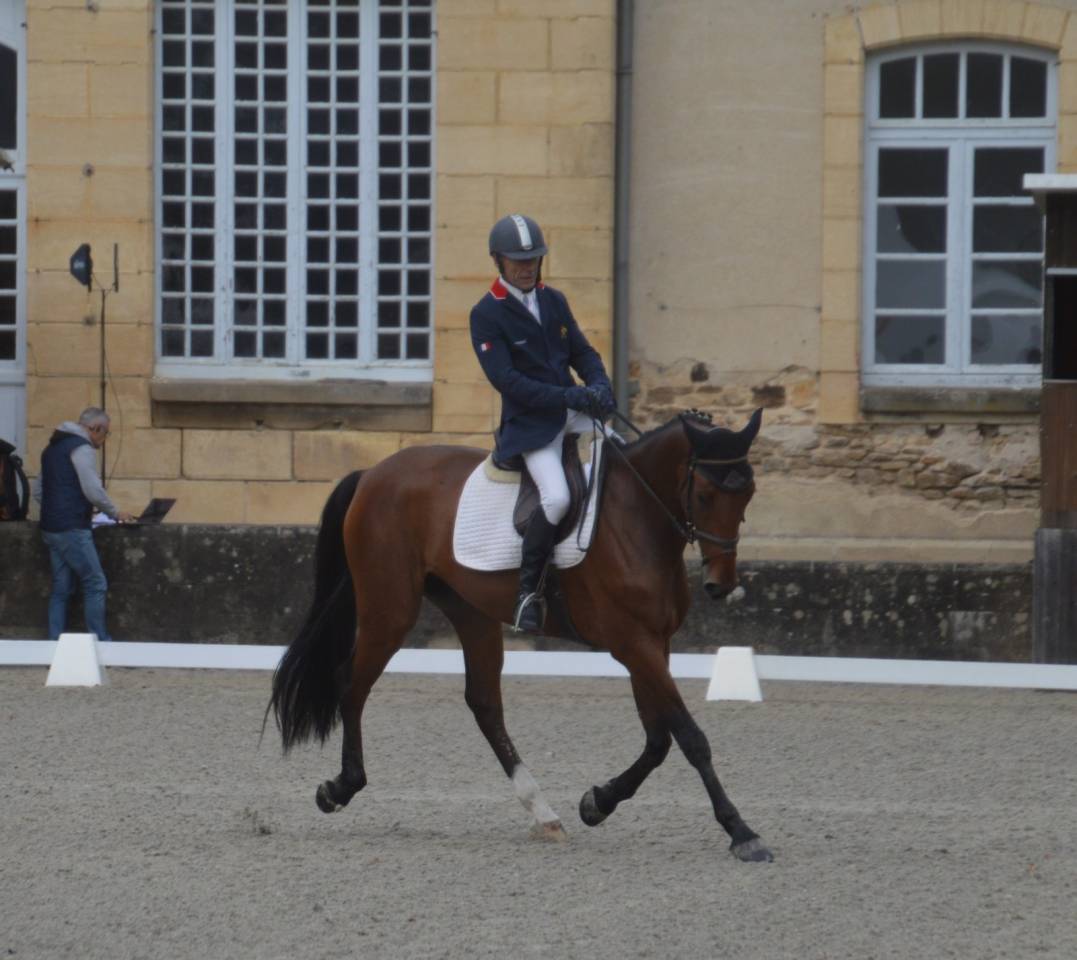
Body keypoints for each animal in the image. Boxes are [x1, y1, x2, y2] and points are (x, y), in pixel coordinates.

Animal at [269, 407, 773, 863]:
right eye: (704, 494)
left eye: (748, 493)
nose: (720, 584)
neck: (637, 517)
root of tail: (373, 472)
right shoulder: (633, 643)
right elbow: (690, 738)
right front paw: (742, 832)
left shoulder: (653, 644)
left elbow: (658, 740)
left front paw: (597, 802)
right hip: (390, 607)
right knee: (351, 683)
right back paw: (339, 788)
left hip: (469, 610)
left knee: (485, 704)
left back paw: (544, 813)